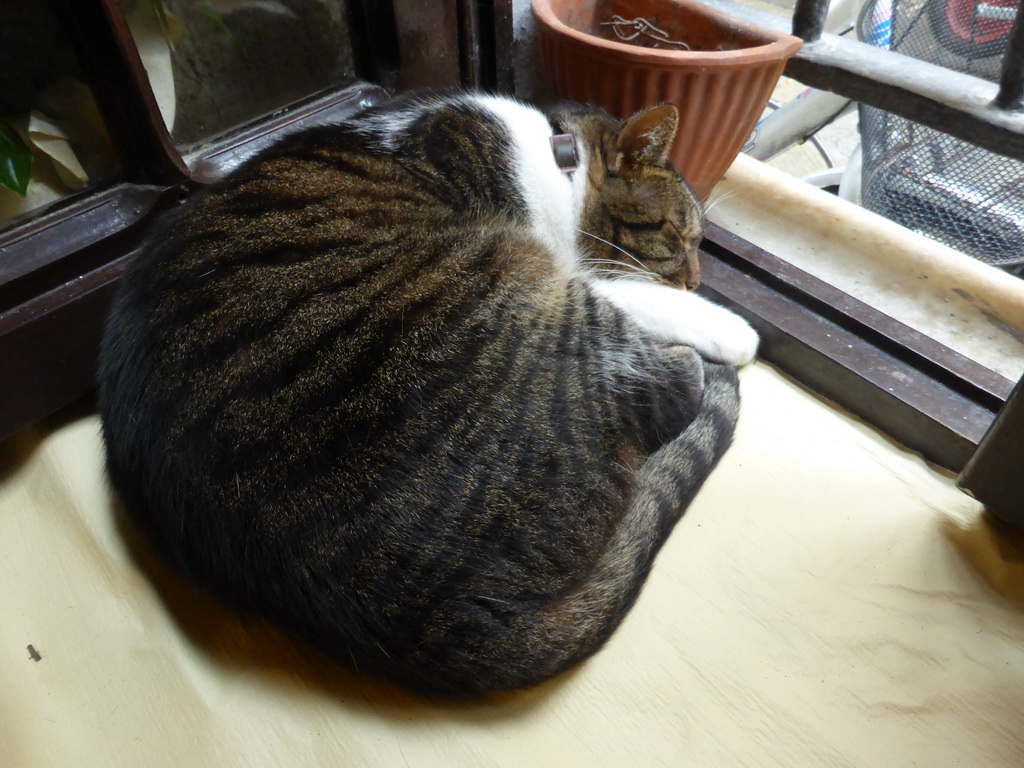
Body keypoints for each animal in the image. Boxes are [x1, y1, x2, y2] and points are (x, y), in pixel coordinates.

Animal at [97, 90, 761, 696]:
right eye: (680, 237)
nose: (698, 278)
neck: (556, 157)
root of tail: (440, 623)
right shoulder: (564, 269)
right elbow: (629, 290)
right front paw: (732, 327)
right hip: (504, 270)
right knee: (667, 384)